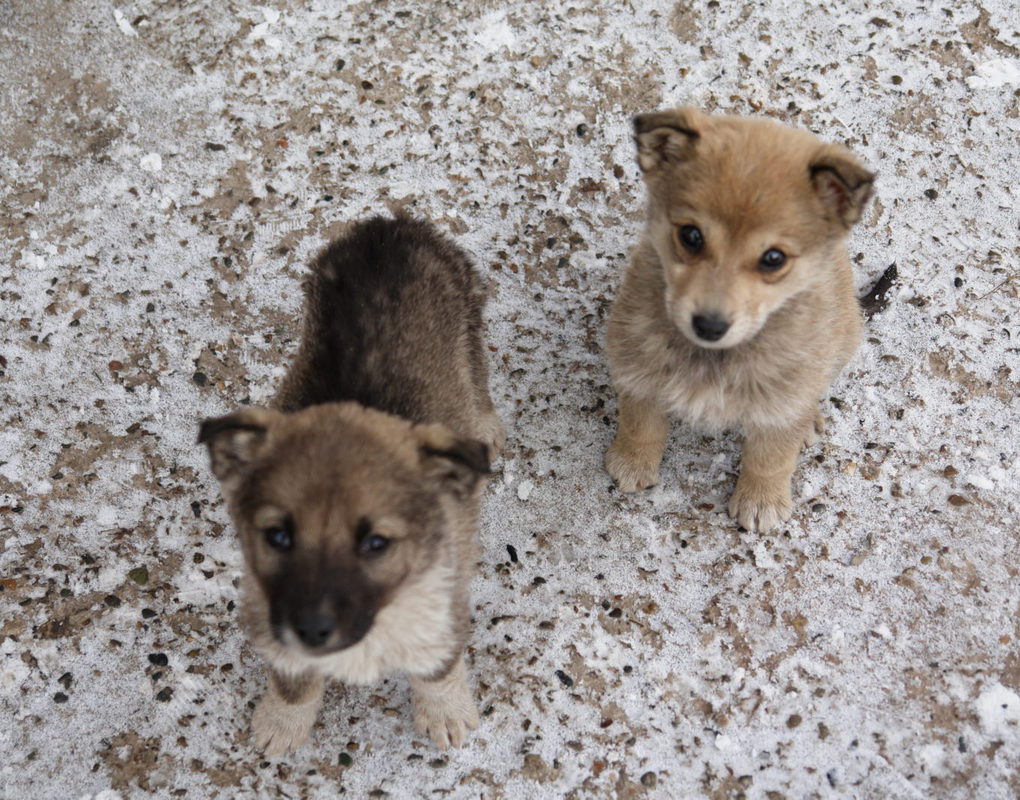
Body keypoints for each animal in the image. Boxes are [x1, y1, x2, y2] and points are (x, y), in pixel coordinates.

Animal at [196, 212, 503, 751]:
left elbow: (438, 669)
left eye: (377, 543)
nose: (313, 629)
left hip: (466, 319)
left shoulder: (445, 598)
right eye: (277, 536)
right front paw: (282, 723)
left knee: (477, 380)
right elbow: (292, 681)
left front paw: (445, 713)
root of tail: (390, 225)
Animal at [603, 106, 877, 530]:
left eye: (773, 258)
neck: (714, 358)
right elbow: (639, 424)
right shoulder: (638, 368)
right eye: (691, 235)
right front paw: (632, 463)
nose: (710, 325)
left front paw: (761, 500)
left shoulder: (782, 400)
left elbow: (770, 458)